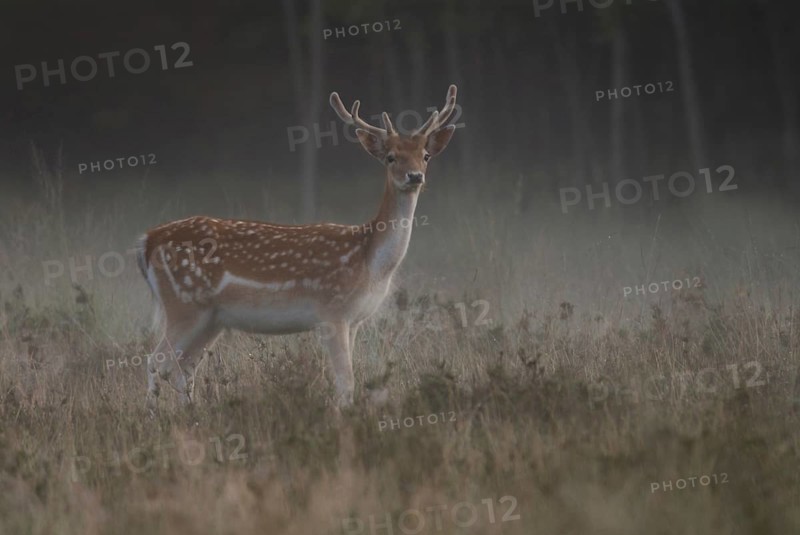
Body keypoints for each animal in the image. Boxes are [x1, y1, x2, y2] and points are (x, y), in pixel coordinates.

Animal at [135, 85, 458, 411]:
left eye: (425, 155)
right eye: (391, 157)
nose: (415, 176)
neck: (370, 263)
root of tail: (146, 241)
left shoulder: (354, 320)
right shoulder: (332, 312)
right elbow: (346, 382)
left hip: (211, 318)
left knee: (184, 367)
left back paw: (190, 412)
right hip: (183, 303)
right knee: (157, 361)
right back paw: (153, 414)